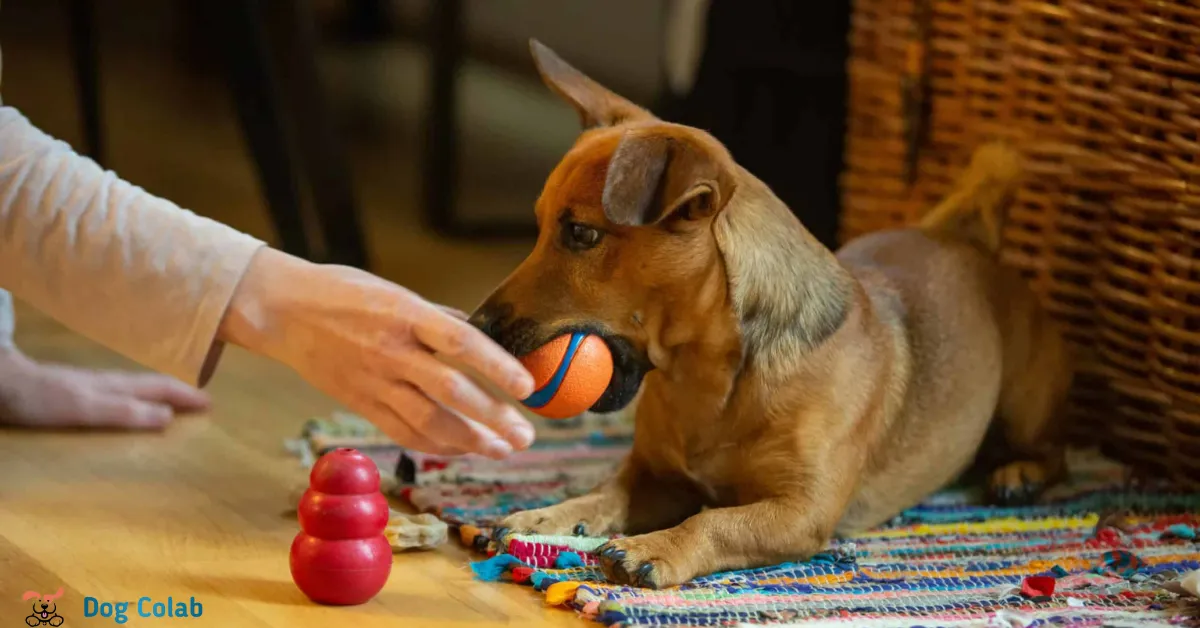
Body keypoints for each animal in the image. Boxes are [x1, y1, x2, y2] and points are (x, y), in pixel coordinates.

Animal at [465, 39, 1070, 590]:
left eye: (582, 234)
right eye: (540, 226)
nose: (475, 330)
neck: (706, 378)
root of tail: (966, 241)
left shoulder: (800, 511)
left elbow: (715, 521)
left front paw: (656, 546)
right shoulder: (655, 475)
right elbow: (605, 492)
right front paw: (547, 518)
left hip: (1023, 404)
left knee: (1054, 455)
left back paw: (1018, 473)